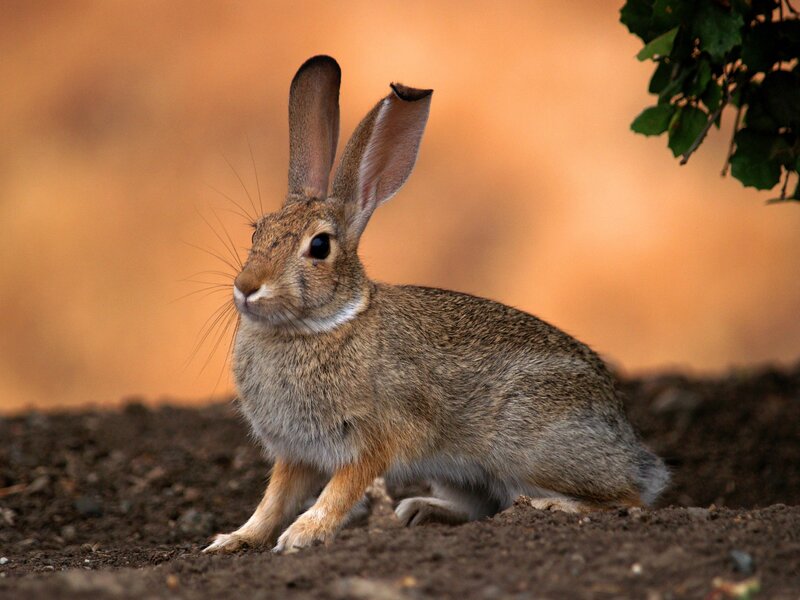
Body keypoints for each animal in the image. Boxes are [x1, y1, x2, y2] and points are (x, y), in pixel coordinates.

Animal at [203, 55, 669, 555]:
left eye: (320, 246)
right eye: (257, 231)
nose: (247, 287)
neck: (320, 326)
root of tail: (630, 445)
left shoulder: (374, 440)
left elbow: (338, 492)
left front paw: (302, 535)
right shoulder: (296, 453)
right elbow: (273, 500)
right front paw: (232, 539)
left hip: (530, 446)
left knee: (628, 499)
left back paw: (553, 506)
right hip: (461, 472)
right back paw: (421, 509)